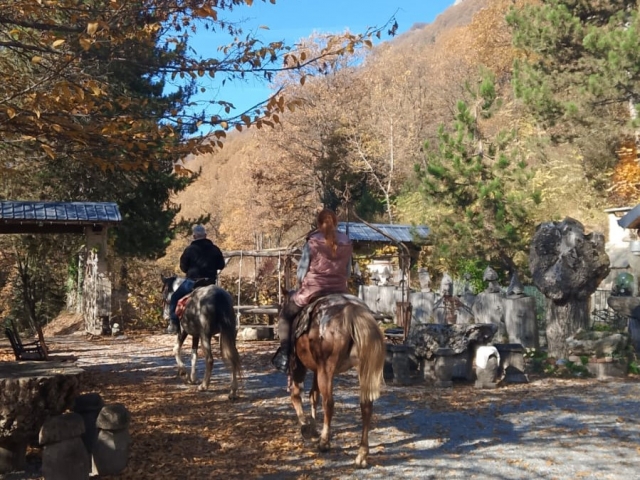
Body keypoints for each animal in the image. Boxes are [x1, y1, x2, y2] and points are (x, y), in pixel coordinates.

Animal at [287, 293, 386, 468]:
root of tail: (351, 309)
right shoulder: (316, 369)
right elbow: (313, 395)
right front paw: (312, 427)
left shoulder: (300, 365)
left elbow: (298, 394)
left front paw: (305, 426)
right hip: (361, 369)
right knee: (366, 406)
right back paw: (362, 455)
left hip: (325, 369)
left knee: (328, 403)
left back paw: (324, 442)